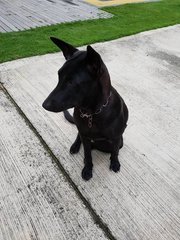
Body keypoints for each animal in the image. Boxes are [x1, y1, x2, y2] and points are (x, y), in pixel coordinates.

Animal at [43, 37, 129, 180]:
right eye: (59, 76)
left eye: (71, 82)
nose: (44, 105)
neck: (92, 113)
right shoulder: (85, 136)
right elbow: (88, 154)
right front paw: (87, 168)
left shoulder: (117, 138)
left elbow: (115, 152)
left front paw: (114, 163)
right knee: (79, 135)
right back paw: (76, 146)